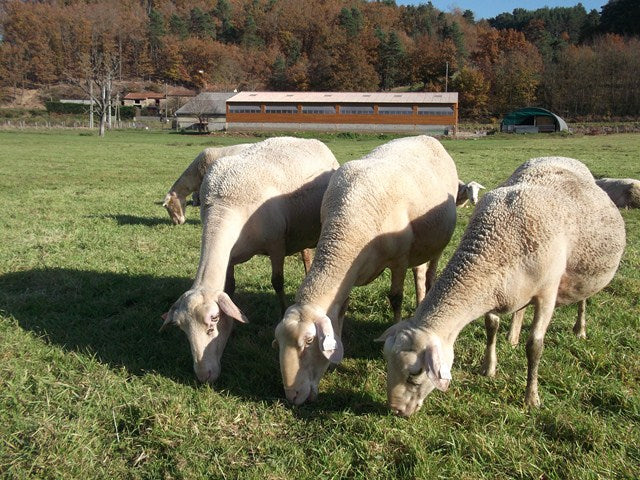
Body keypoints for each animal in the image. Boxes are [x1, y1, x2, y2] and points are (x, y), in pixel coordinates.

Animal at [160, 137, 340, 384]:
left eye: (213, 320)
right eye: (182, 329)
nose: (204, 376)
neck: (225, 206)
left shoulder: (276, 244)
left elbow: (277, 282)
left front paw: (282, 314)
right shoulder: (230, 256)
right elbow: (230, 288)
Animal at [272, 135, 458, 404]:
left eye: (308, 341)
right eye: (278, 341)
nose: (293, 396)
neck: (347, 226)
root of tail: (426, 137)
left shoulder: (399, 259)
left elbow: (395, 298)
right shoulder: (349, 275)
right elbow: (340, 309)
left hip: (436, 245)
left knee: (430, 274)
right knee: (419, 272)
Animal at [380, 156, 624, 414]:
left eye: (415, 373)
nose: (394, 409)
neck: (495, 243)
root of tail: (558, 157)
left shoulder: (546, 295)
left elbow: (535, 347)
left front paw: (531, 398)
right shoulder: (495, 290)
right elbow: (491, 328)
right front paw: (488, 368)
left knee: (583, 300)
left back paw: (579, 329)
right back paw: (512, 336)